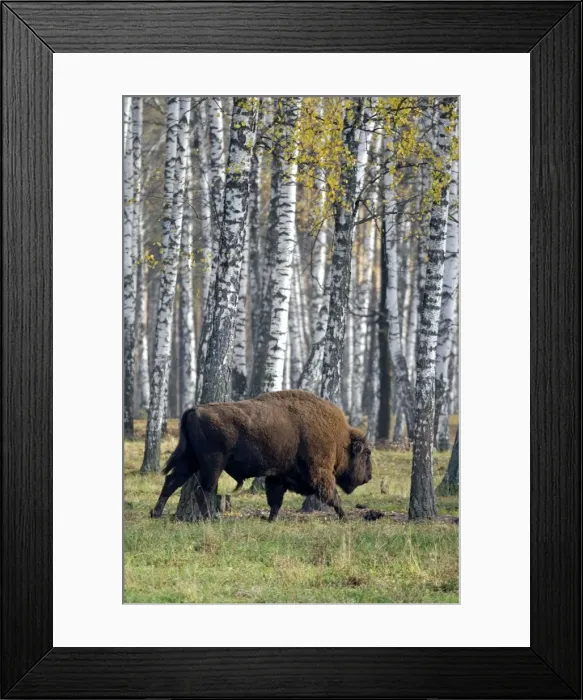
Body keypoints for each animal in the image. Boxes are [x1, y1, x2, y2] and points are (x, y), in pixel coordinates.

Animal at [150, 389, 372, 521]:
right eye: (366, 454)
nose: (369, 477)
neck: (339, 439)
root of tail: (195, 410)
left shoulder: (278, 475)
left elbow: (275, 499)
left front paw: (271, 519)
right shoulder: (320, 471)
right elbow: (332, 495)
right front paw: (345, 518)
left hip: (191, 460)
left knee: (172, 481)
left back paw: (155, 513)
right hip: (213, 464)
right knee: (203, 489)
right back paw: (212, 519)